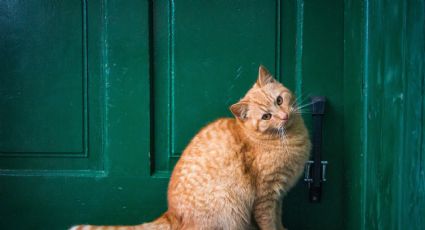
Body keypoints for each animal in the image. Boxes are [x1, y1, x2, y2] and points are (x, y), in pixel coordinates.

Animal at [71, 65, 310, 229]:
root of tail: (170, 213)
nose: (284, 115)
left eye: (279, 100)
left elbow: (278, 221)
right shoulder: (265, 196)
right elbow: (269, 223)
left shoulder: (278, 197)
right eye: (266, 117)